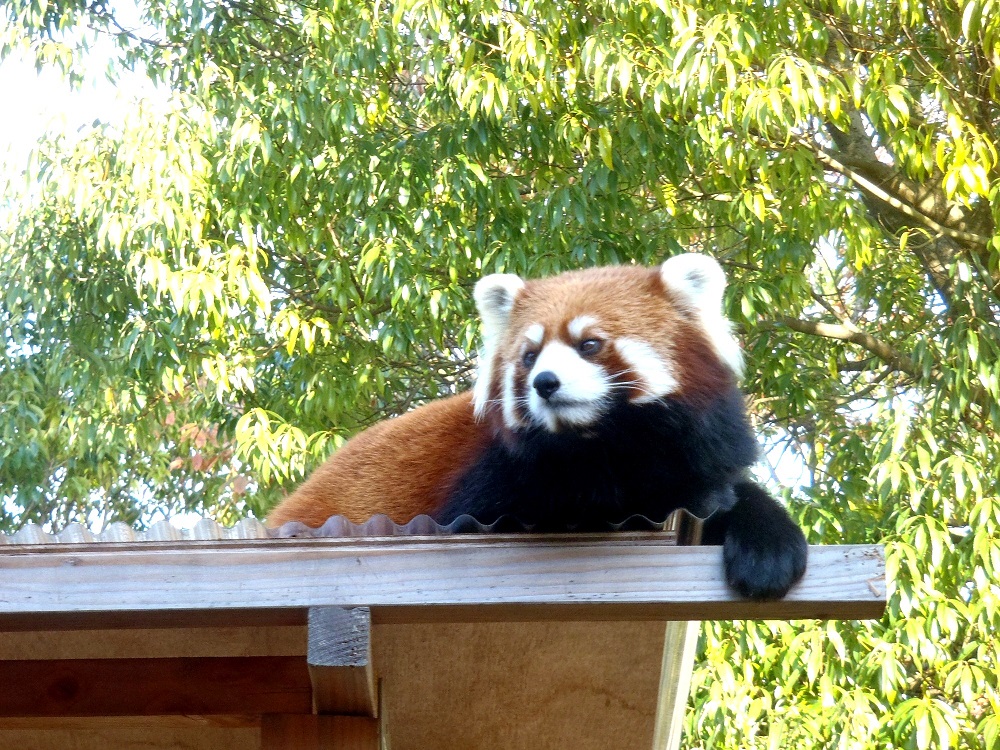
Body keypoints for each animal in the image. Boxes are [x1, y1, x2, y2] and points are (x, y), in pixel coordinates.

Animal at [264, 256, 804, 604]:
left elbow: (723, 497)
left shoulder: (695, 457)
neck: (602, 447)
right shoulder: (493, 484)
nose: (545, 382)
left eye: (589, 344)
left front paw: (767, 549)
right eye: (529, 355)